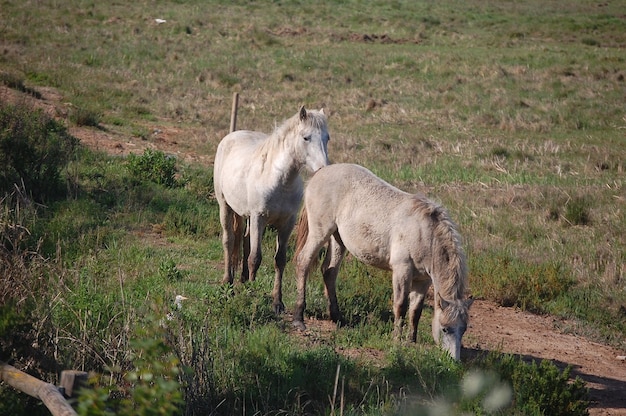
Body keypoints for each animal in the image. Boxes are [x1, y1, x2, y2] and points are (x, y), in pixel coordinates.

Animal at [213, 105, 330, 314]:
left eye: (327, 138)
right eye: (306, 137)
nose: (322, 169)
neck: (280, 181)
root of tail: (231, 137)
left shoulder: (287, 224)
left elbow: (279, 260)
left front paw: (277, 302)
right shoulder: (259, 218)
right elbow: (255, 258)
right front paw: (252, 295)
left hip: (248, 217)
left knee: (244, 241)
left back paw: (243, 280)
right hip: (226, 207)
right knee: (229, 240)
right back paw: (228, 282)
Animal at [294, 164, 470, 360]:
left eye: (463, 329)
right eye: (445, 329)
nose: (455, 360)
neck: (425, 234)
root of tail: (320, 172)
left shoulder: (423, 281)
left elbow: (415, 311)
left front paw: (411, 341)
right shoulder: (402, 270)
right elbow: (401, 306)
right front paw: (396, 339)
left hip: (338, 239)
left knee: (329, 271)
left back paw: (337, 318)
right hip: (320, 232)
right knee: (303, 262)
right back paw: (299, 318)